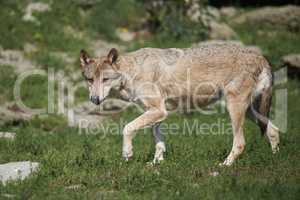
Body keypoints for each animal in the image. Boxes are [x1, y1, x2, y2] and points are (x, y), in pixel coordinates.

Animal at [79, 42, 278, 166]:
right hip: (250, 112)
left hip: (234, 109)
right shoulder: (157, 113)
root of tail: (261, 57)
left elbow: (127, 128)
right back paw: (275, 159)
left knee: (240, 143)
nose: (94, 100)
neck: (133, 71)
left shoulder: (158, 111)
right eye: (90, 80)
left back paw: (224, 165)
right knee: (274, 131)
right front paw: (156, 163)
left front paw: (127, 154)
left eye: (105, 79)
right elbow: (159, 142)